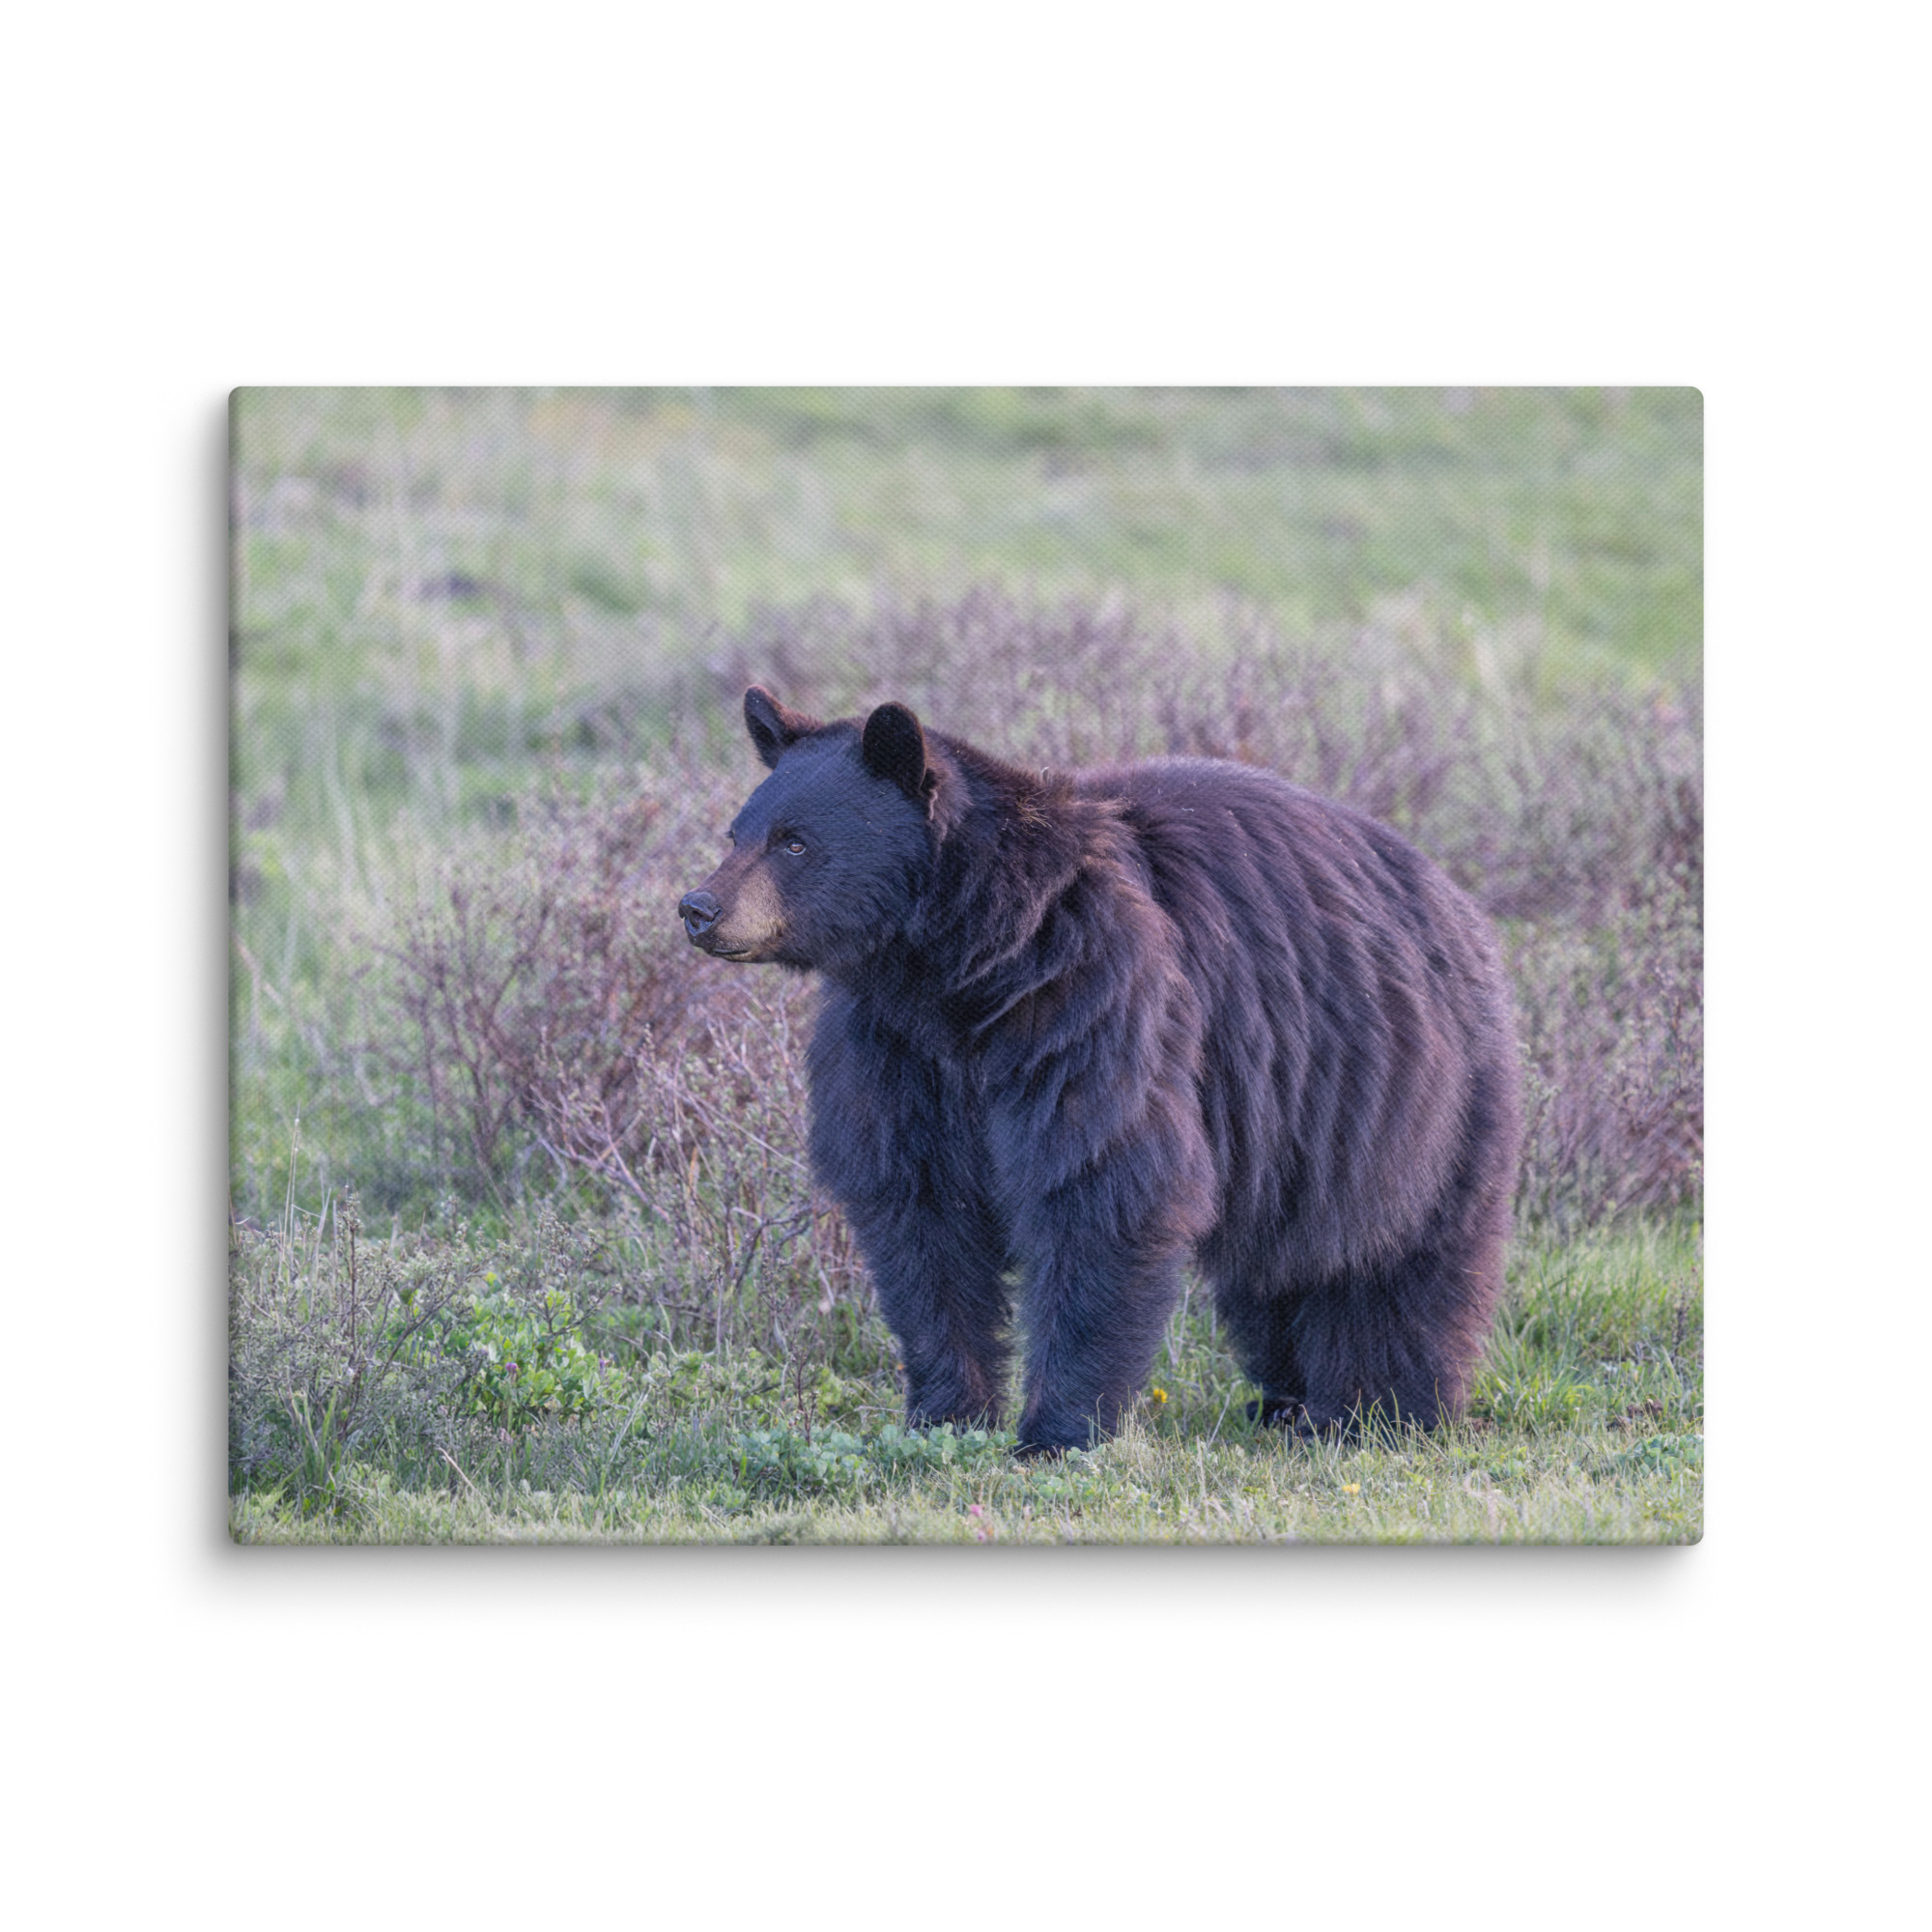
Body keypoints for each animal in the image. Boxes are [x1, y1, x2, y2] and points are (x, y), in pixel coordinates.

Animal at [678, 686, 1522, 1455]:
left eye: (794, 842)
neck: (961, 968)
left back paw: (1380, 1409)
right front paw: (945, 1414)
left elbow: (1100, 1186)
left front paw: (1056, 1432)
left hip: (1406, 1095)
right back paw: (1286, 1400)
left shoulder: (1091, 1002)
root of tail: (1454, 898)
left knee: (1399, 1259)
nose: (698, 907)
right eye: (737, 831)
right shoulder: (896, 1052)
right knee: (1279, 1269)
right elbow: (920, 1216)